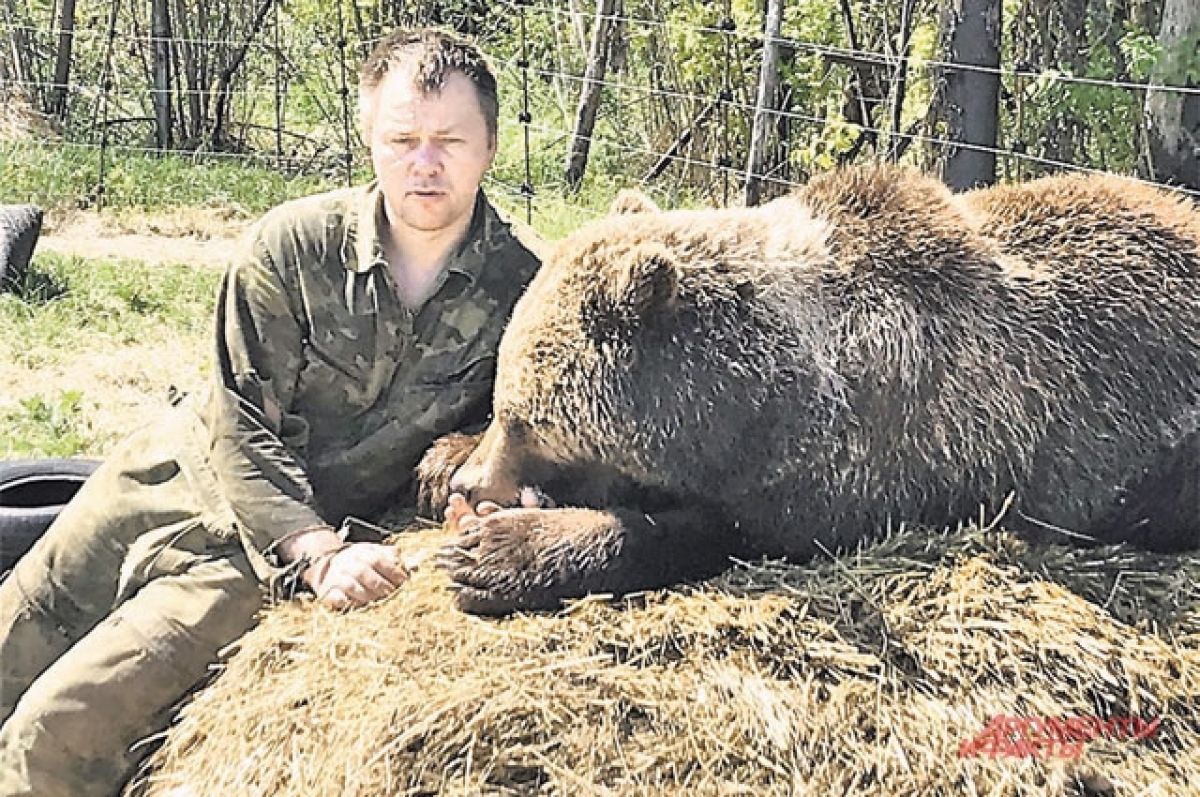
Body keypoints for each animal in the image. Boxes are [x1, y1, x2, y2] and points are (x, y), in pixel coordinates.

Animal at [422, 166, 1200, 614]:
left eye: (526, 418)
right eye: (500, 401)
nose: (473, 481)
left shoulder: (870, 461)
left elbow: (707, 531)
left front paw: (495, 553)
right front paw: (441, 461)